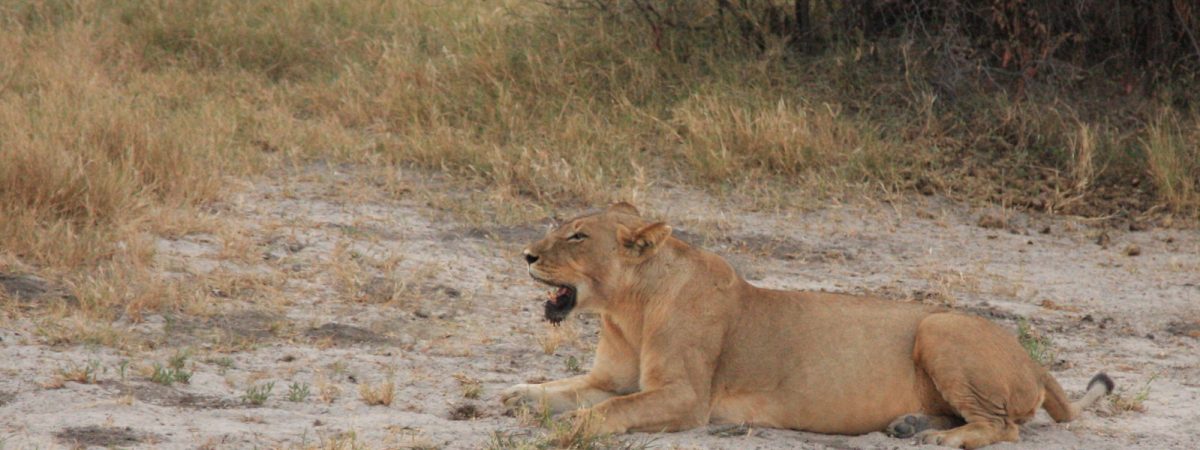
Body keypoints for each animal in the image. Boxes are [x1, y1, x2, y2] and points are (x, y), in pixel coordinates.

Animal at [500, 202, 1113, 449]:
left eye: (578, 236)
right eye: (562, 227)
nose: (526, 254)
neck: (627, 310)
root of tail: (1035, 360)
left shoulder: (687, 398)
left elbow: (611, 411)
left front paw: (569, 428)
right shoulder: (609, 379)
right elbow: (564, 388)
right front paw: (516, 395)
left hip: (939, 328)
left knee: (1002, 427)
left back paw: (940, 437)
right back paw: (910, 424)